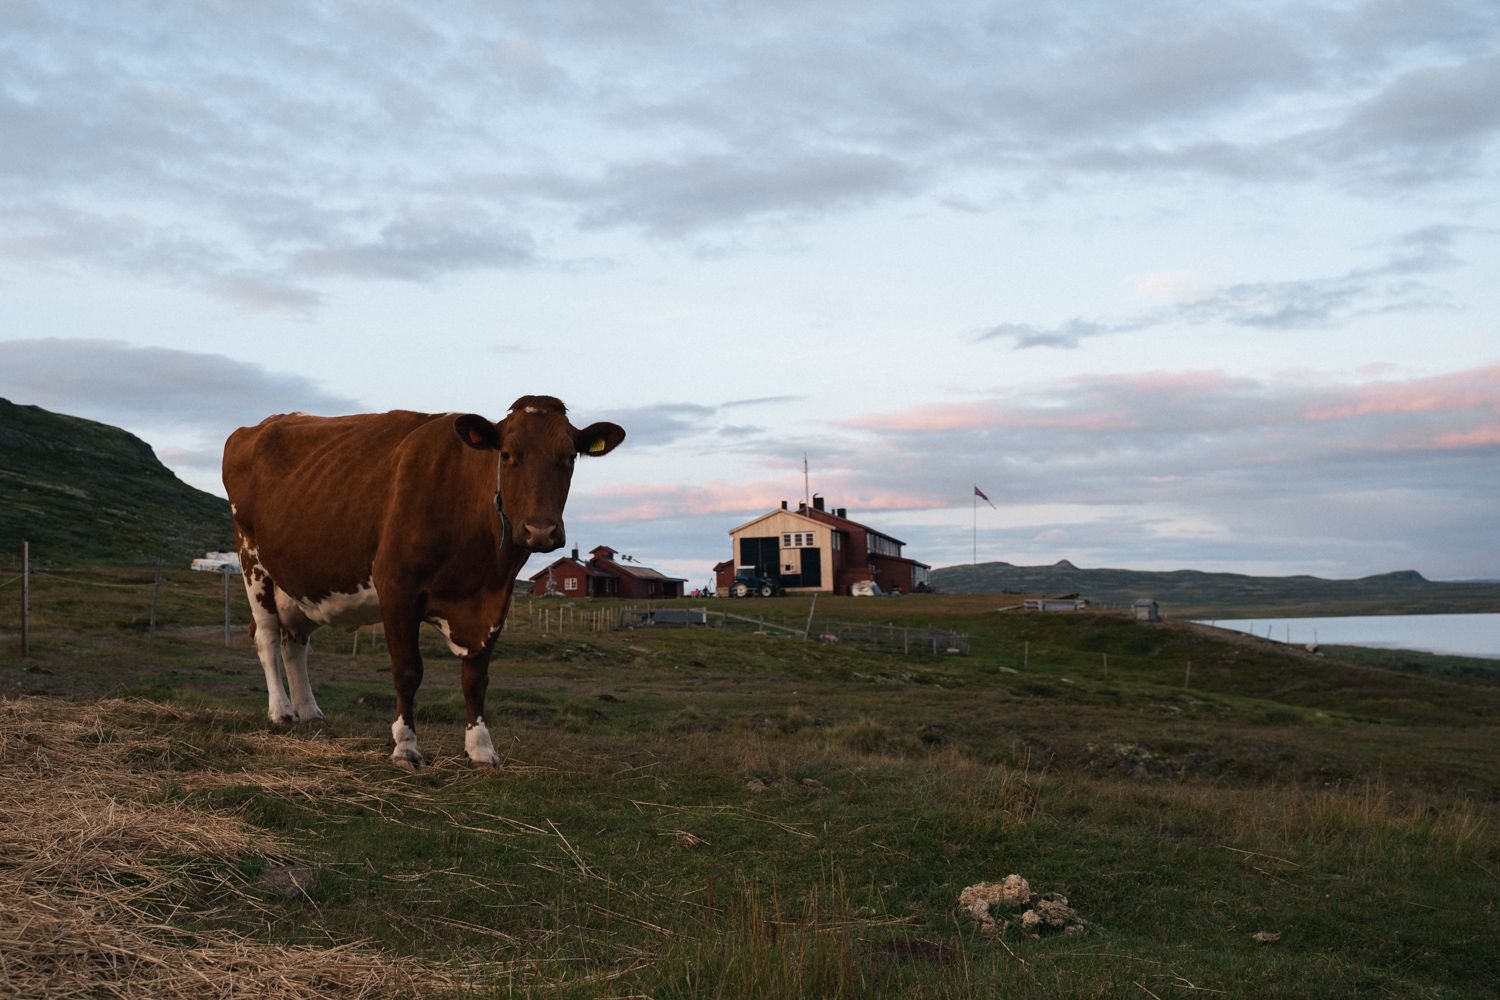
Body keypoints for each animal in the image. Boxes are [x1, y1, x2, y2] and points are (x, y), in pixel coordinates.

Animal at [221, 396, 625, 768]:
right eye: (508, 454)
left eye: (570, 456)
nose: (540, 530)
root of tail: (257, 427)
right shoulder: (396, 587)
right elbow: (407, 671)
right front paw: (405, 746)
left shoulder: (494, 598)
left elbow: (475, 678)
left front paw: (481, 748)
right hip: (252, 559)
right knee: (267, 636)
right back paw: (282, 711)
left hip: (300, 582)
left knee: (294, 643)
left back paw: (309, 711)